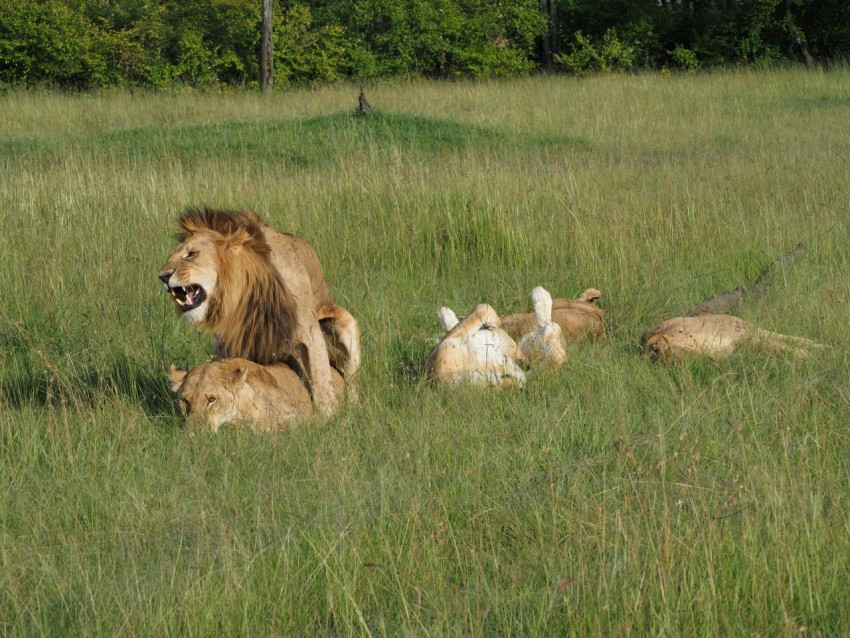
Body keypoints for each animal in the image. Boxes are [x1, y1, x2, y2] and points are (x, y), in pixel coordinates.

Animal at [157, 210, 360, 418]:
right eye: (170, 256)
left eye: (191, 254)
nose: (163, 277)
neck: (248, 296)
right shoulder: (227, 341)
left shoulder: (310, 334)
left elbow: (321, 384)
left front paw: (328, 419)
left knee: (350, 383)